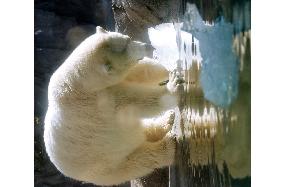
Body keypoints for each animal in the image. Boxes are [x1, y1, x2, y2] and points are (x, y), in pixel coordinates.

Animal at [44, 26, 182, 186]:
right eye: (127, 44)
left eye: (128, 38)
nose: (148, 46)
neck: (77, 81)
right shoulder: (98, 102)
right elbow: (135, 103)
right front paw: (173, 86)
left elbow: (142, 72)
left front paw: (171, 67)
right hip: (107, 166)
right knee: (139, 160)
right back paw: (169, 146)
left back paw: (167, 120)